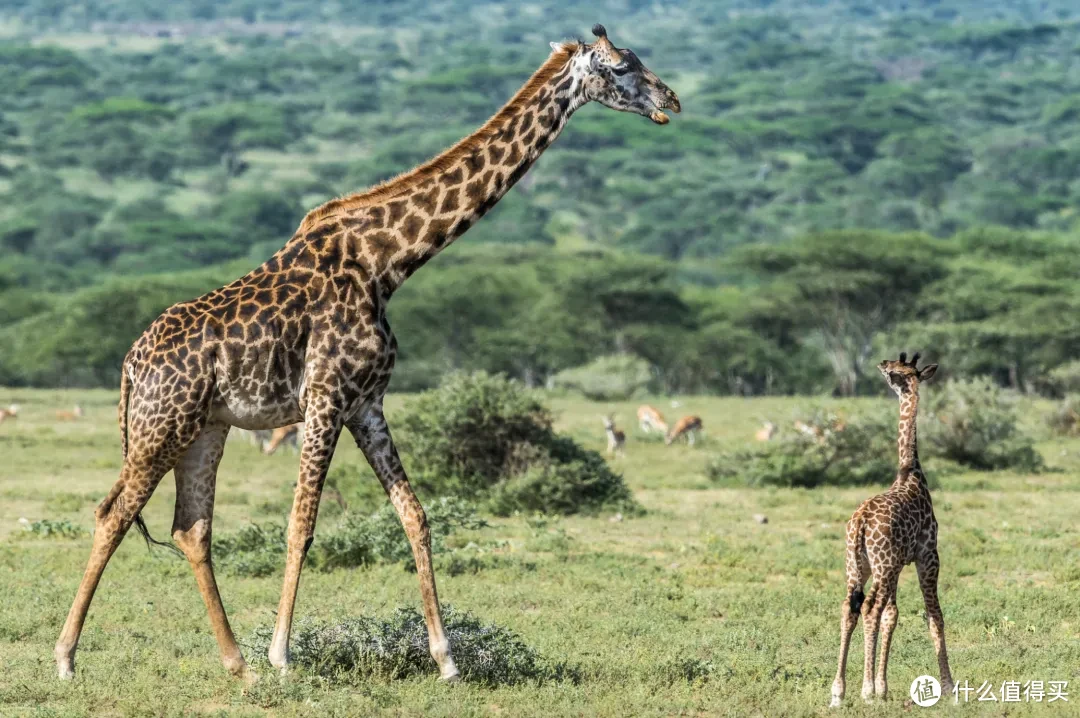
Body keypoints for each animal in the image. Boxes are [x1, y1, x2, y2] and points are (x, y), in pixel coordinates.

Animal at [54, 23, 678, 682]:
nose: (672, 100)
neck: (388, 264)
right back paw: (67, 657)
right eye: (620, 67)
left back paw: (236, 663)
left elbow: (415, 516)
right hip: (160, 425)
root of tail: (131, 363)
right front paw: (283, 653)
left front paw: (446, 659)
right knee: (112, 513)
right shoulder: (326, 398)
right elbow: (302, 524)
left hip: (206, 428)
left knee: (190, 528)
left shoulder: (367, 404)